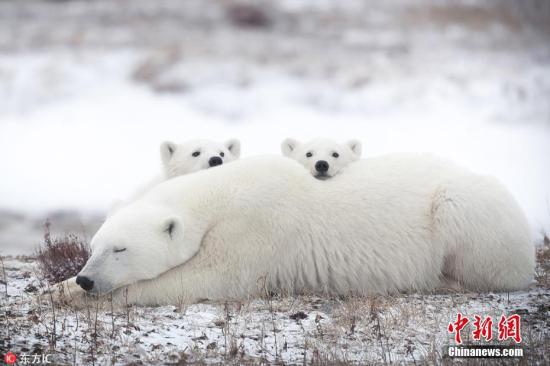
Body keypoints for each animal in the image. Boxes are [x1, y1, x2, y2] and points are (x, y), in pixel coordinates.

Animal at [66, 154, 536, 306]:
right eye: (94, 247)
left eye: (121, 250)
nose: (88, 279)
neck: (225, 190)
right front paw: (63, 289)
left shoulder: (256, 227)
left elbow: (210, 277)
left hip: (465, 209)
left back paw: (443, 281)